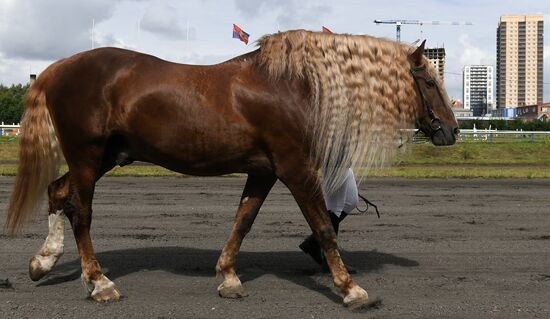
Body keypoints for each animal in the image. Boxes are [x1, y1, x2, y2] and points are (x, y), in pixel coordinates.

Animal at [6, 30, 460, 310]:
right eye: (429, 82)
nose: (453, 131)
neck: (293, 86)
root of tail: (56, 68)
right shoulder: (296, 169)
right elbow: (323, 227)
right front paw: (350, 289)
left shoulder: (264, 171)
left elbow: (243, 220)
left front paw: (228, 276)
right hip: (87, 156)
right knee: (81, 212)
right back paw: (99, 283)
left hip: (107, 158)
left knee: (57, 193)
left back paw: (43, 262)